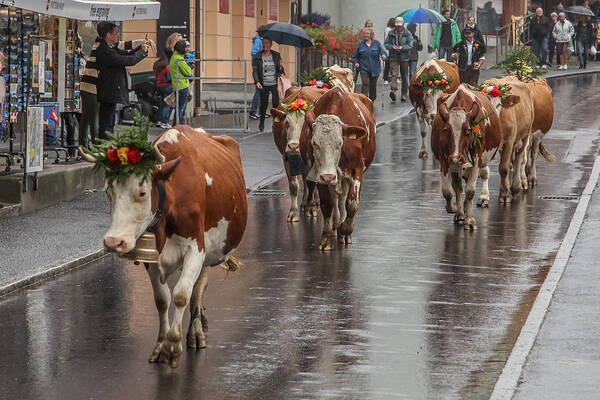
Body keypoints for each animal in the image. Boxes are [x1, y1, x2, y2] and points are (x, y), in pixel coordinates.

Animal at [81, 126, 247, 368]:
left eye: (142, 192)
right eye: (107, 191)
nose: (113, 242)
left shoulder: (196, 249)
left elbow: (181, 294)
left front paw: (172, 346)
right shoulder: (151, 255)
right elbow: (162, 299)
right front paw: (161, 344)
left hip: (210, 250)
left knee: (198, 288)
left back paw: (196, 331)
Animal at [272, 85, 328, 222]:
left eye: (306, 124)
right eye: (287, 123)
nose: (293, 146)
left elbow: (312, 182)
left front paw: (311, 208)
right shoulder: (286, 157)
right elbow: (294, 185)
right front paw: (293, 212)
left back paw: (314, 203)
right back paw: (304, 204)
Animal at [300, 86, 376, 250]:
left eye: (340, 142)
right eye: (314, 143)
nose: (328, 176)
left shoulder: (357, 169)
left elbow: (352, 203)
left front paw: (345, 230)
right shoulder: (320, 175)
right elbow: (327, 204)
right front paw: (326, 237)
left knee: (342, 200)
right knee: (336, 199)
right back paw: (335, 225)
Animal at [432, 86, 502, 230]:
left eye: (469, 130)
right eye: (446, 130)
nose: (456, 158)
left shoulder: (476, 160)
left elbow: (470, 191)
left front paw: (470, 220)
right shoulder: (444, 161)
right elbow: (448, 191)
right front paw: (455, 209)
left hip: (482, 160)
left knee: (484, 174)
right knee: (458, 188)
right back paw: (460, 212)